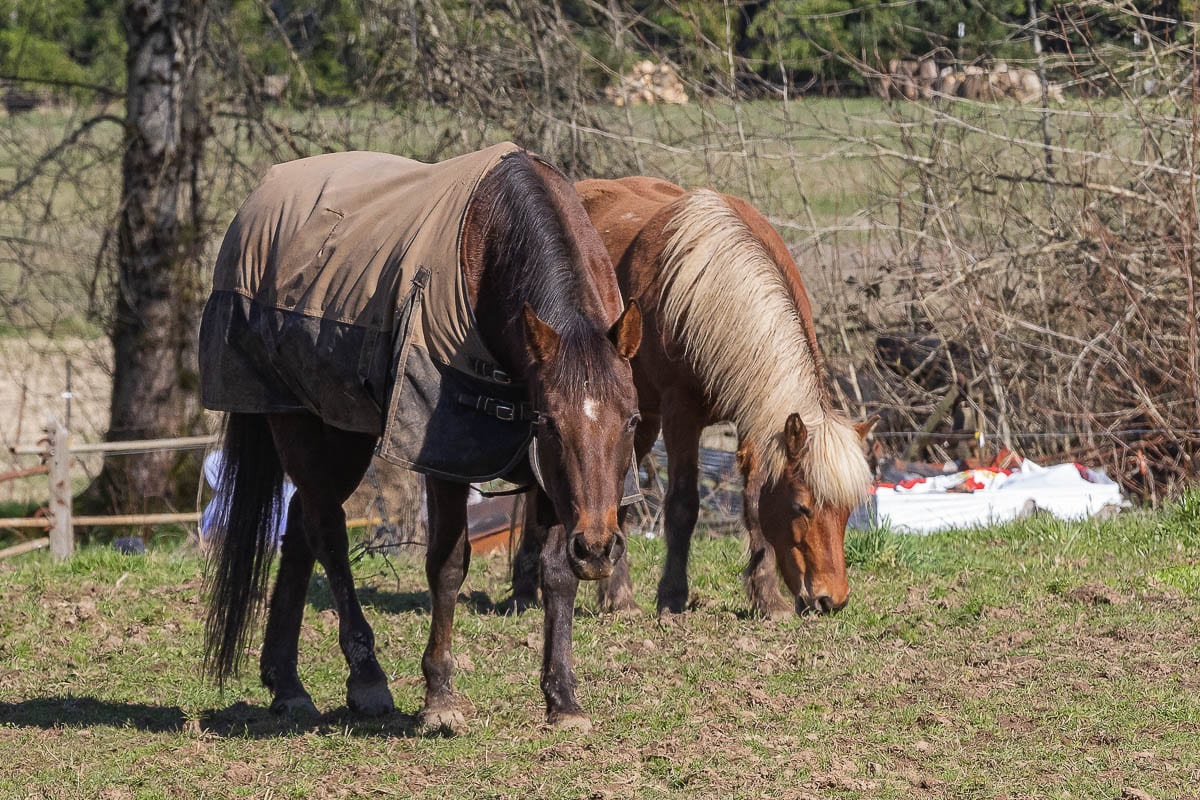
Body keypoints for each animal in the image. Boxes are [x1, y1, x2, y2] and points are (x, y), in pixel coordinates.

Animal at [201, 145, 643, 734]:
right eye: (549, 421)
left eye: (632, 420)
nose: (597, 548)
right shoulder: (448, 458)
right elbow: (448, 566)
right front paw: (440, 697)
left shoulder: (552, 481)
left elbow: (557, 575)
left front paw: (563, 699)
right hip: (303, 423)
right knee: (327, 530)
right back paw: (366, 679)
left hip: (342, 431)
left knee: (299, 527)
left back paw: (288, 685)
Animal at [513, 178, 873, 618]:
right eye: (801, 507)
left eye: (847, 511)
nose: (830, 600)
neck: (713, 292)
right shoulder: (680, 415)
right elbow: (683, 505)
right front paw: (672, 596)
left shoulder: (753, 422)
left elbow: (753, 501)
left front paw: (767, 598)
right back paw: (526, 588)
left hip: (635, 424)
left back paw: (616, 596)